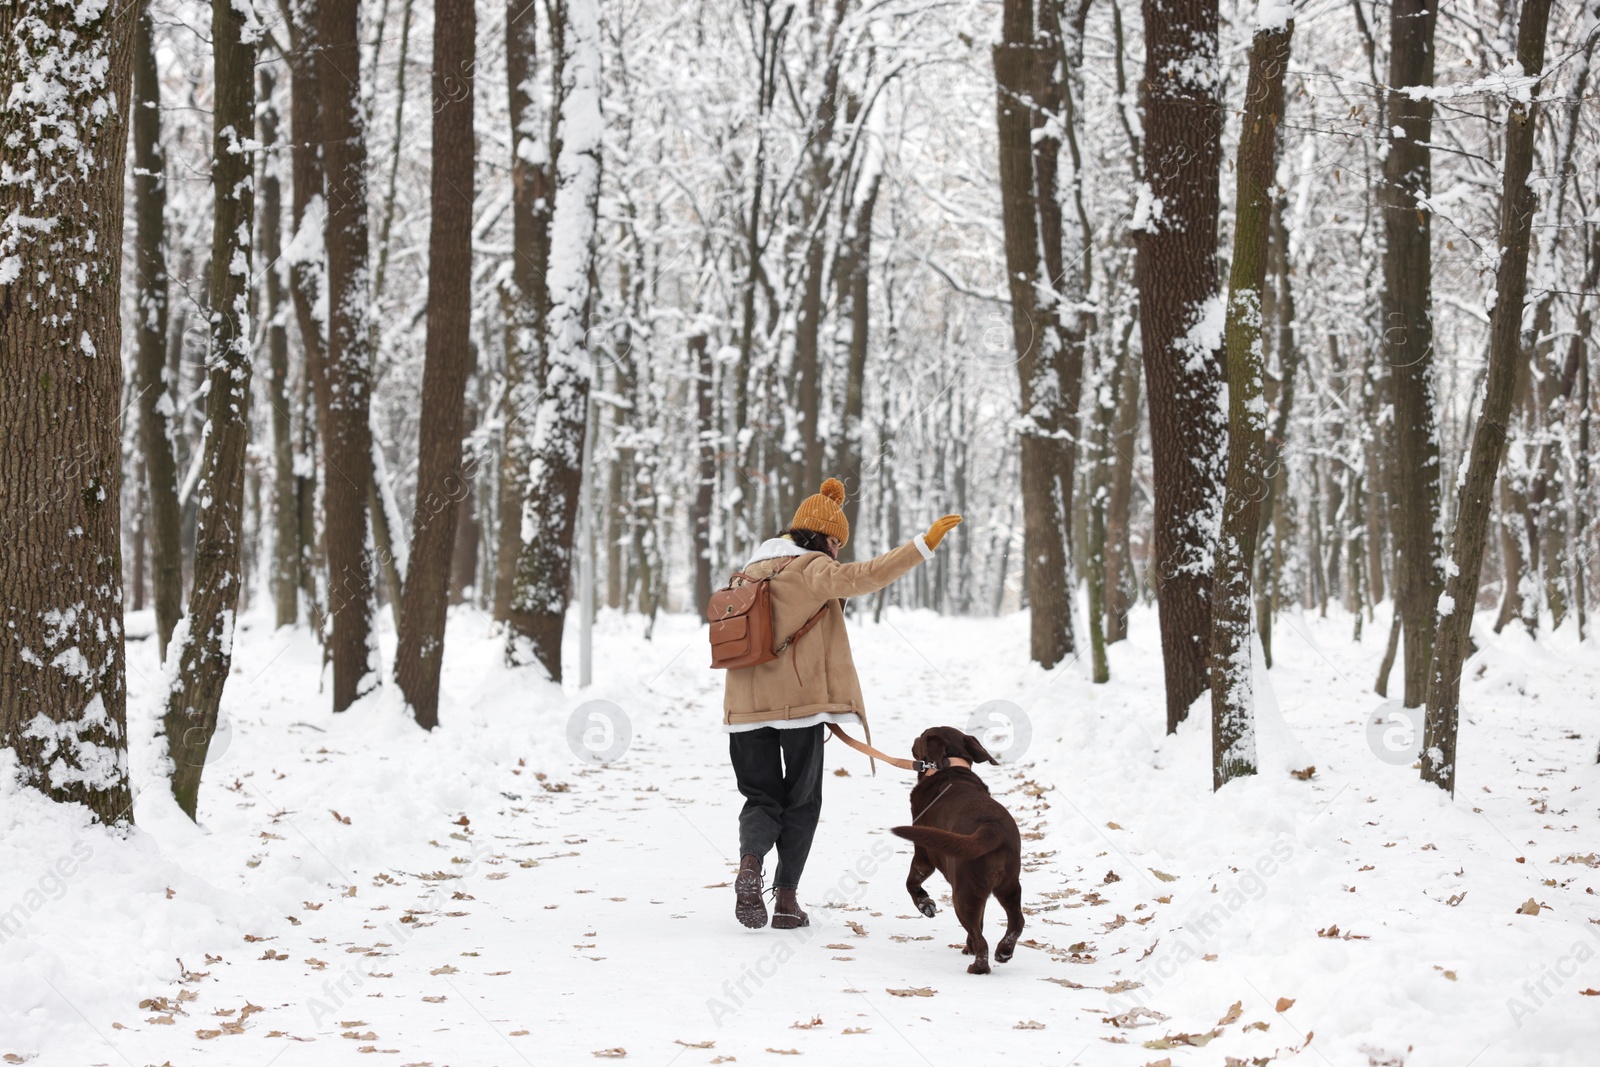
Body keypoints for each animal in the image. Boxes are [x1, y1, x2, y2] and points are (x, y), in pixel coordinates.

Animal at [889, 726, 1024, 979]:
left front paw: (926, 904)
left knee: (982, 941)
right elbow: (981, 922)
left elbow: (911, 882)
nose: (915, 737)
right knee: (1016, 922)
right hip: (1008, 885)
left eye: (923, 735)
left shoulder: (923, 855)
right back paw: (1004, 951)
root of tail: (991, 828)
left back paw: (978, 967)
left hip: (963, 892)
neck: (949, 767)